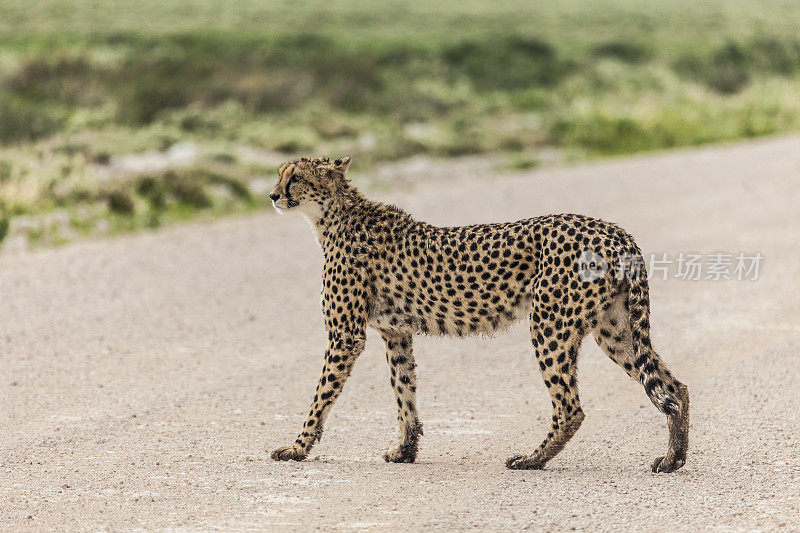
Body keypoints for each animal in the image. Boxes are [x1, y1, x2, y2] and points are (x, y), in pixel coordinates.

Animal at [268, 156, 688, 472]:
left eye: (296, 177)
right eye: (279, 174)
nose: (272, 195)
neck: (331, 215)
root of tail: (613, 229)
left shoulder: (346, 335)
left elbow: (322, 394)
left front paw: (297, 448)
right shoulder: (396, 332)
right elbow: (404, 391)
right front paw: (405, 450)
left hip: (550, 323)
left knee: (571, 407)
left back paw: (532, 459)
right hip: (614, 328)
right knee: (674, 387)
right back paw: (674, 458)